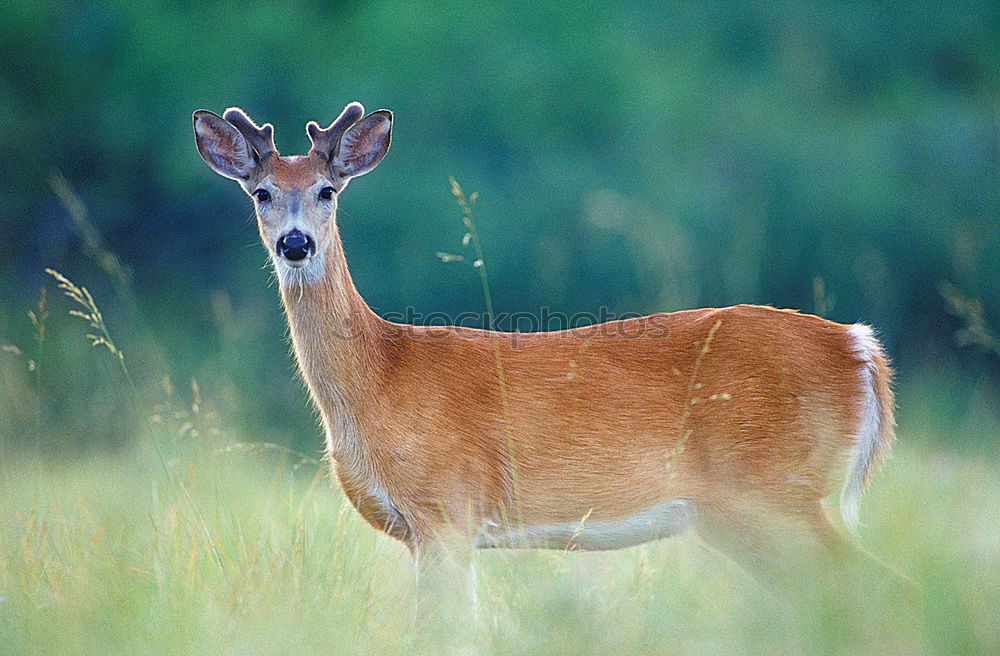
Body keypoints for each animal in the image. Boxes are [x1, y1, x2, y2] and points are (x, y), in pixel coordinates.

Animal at [191, 101, 896, 588]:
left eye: (327, 191)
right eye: (261, 193)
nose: (296, 243)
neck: (380, 376)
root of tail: (861, 349)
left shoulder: (447, 510)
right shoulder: (429, 531)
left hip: (776, 489)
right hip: (746, 513)